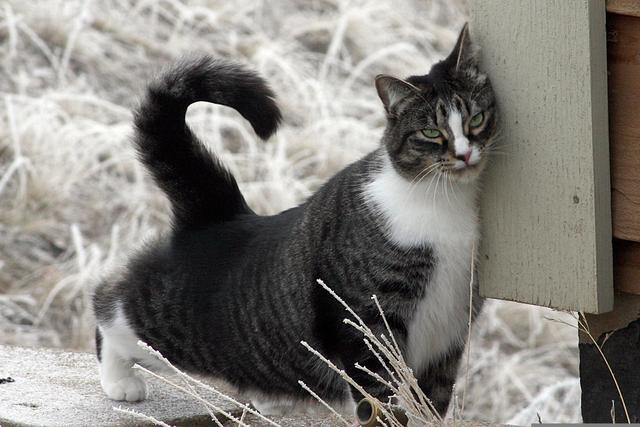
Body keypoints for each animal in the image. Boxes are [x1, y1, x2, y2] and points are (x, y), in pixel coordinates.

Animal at [92, 24, 498, 418]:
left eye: (477, 119)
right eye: (431, 132)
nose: (464, 154)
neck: (444, 201)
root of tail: (220, 214)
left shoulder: (450, 335)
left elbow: (433, 400)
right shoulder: (364, 323)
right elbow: (379, 395)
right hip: (170, 323)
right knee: (109, 303)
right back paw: (119, 379)